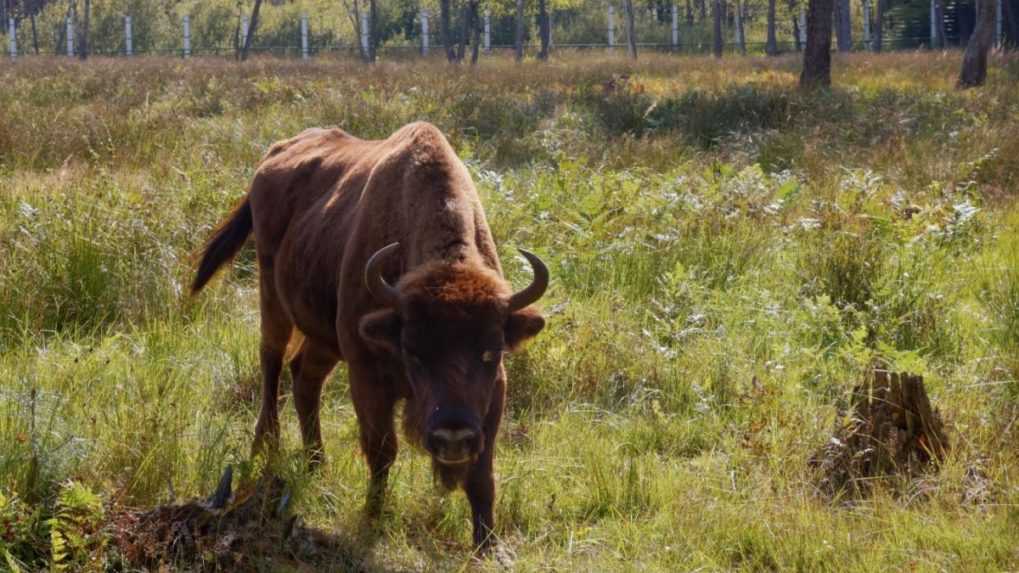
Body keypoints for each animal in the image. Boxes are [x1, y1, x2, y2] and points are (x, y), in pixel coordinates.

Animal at [194, 120, 554, 542]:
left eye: (491, 350)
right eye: (413, 351)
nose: (452, 437)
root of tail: (273, 155)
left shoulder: (494, 388)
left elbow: (483, 473)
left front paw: (486, 544)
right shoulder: (366, 373)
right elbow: (382, 450)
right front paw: (373, 515)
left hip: (324, 339)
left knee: (304, 378)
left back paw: (317, 465)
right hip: (273, 301)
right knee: (272, 366)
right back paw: (265, 449)